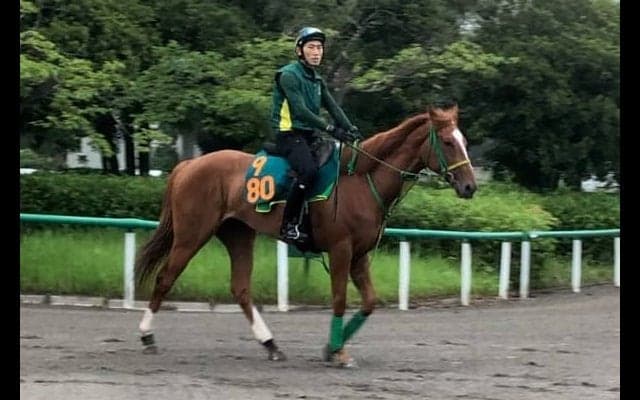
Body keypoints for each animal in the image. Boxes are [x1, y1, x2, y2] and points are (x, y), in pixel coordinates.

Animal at [134, 102, 477, 367]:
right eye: (447, 142)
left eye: (463, 140)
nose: (470, 186)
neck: (361, 179)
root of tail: (189, 165)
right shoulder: (340, 250)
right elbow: (339, 299)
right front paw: (337, 351)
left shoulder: (359, 256)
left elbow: (369, 302)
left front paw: (332, 348)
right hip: (191, 235)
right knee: (165, 278)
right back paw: (147, 336)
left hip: (238, 234)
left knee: (241, 289)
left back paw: (271, 345)